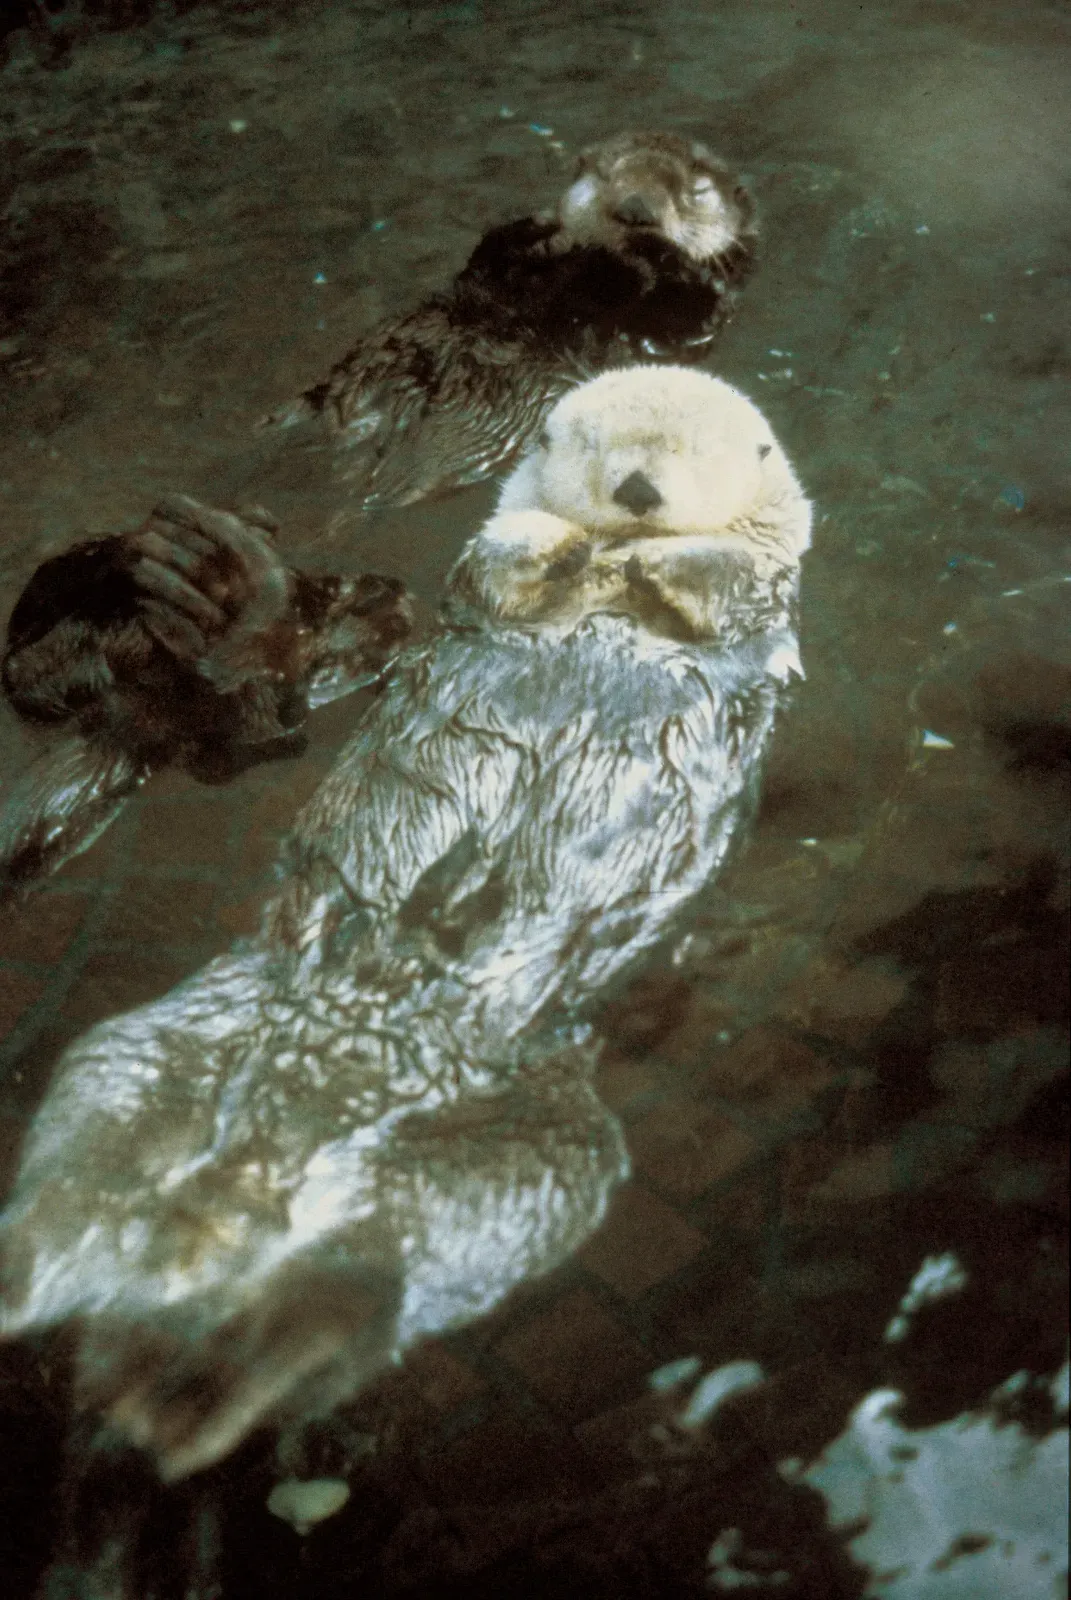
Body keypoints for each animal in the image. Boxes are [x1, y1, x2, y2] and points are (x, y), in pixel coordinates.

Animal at [0, 495, 412, 897]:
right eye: (320, 595)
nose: (387, 592)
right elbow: (23, 659)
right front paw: (153, 547)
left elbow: (258, 718)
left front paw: (245, 574)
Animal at [263, 130, 756, 520]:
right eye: (606, 176)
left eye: (693, 191)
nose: (636, 210)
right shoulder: (500, 268)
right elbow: (494, 252)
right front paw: (538, 224)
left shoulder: (687, 322)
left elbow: (686, 309)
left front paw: (654, 254)